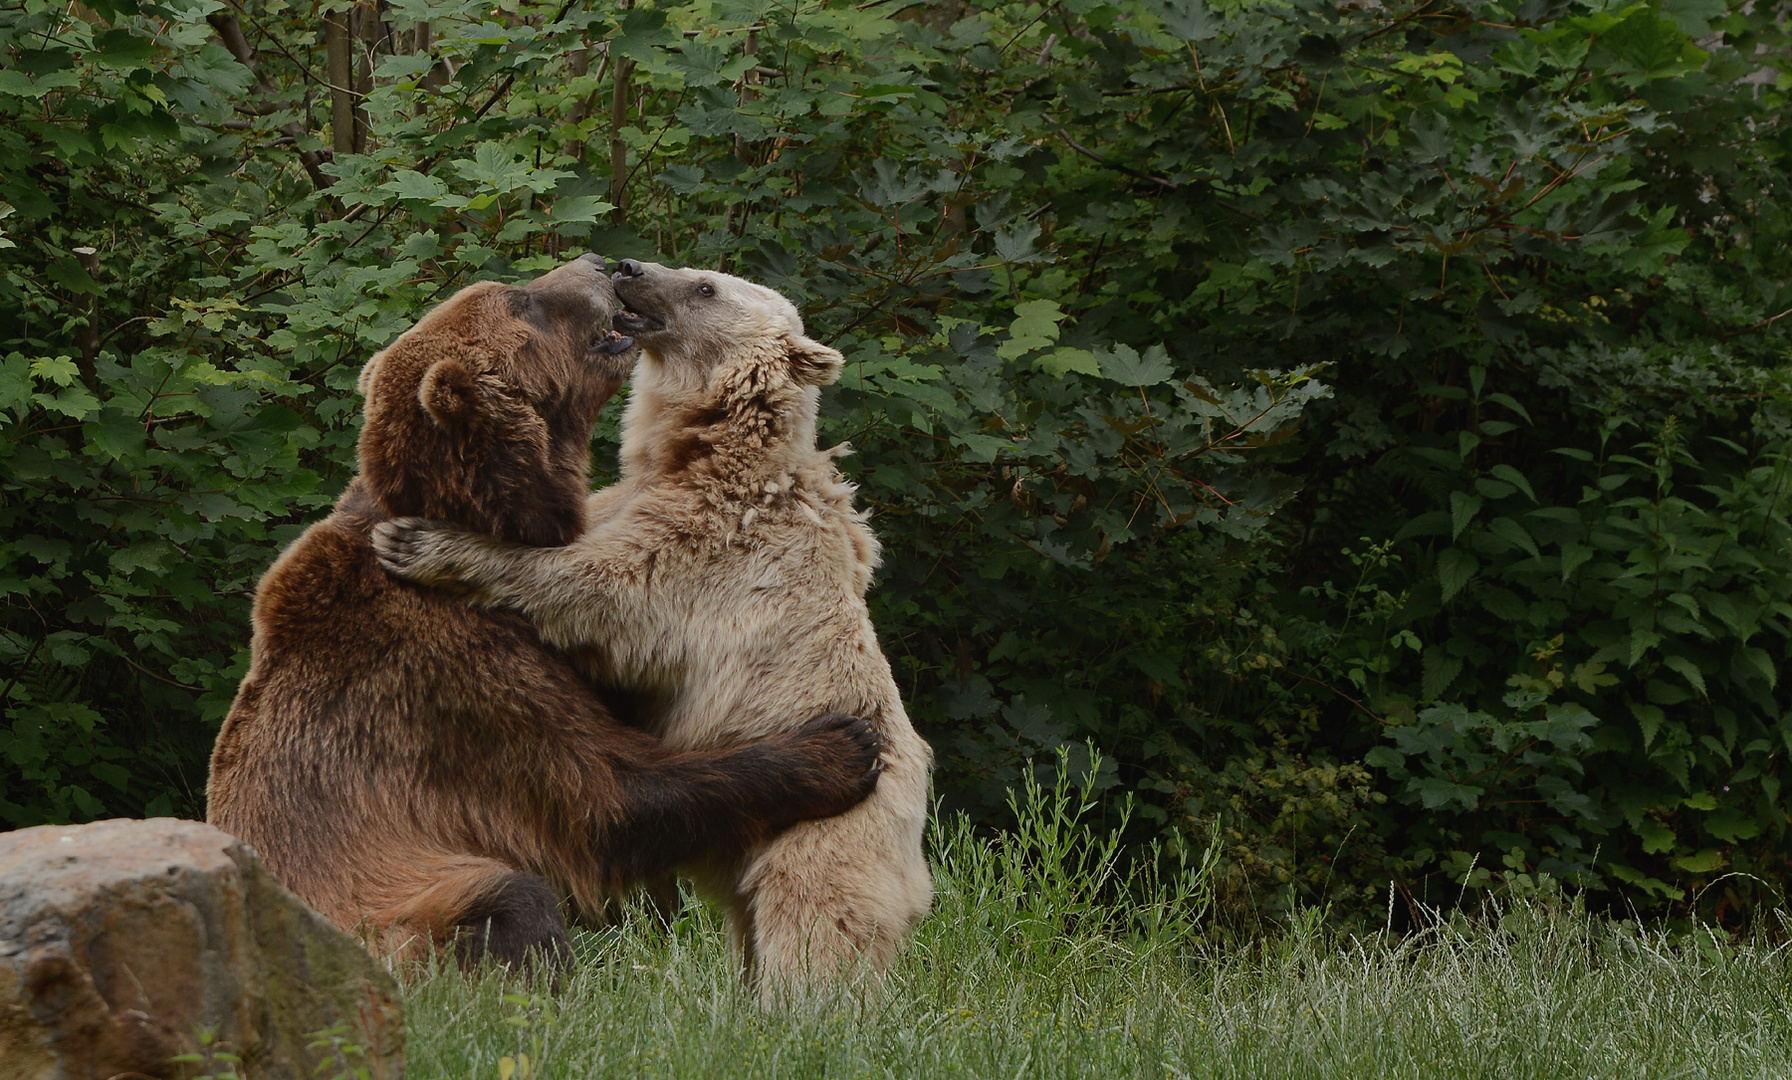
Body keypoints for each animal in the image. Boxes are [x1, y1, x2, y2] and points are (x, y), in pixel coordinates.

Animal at [209, 254, 881, 974]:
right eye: (521, 301)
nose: (601, 263)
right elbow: (606, 796)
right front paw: (841, 745)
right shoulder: (456, 677)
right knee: (510, 902)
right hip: (392, 916)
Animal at [378, 257, 939, 1002]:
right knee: (747, 921)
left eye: (705, 286)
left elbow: (600, 591)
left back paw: (800, 1006)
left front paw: (424, 543)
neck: (695, 450)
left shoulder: (710, 550)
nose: (629, 266)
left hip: (831, 828)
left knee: (813, 923)